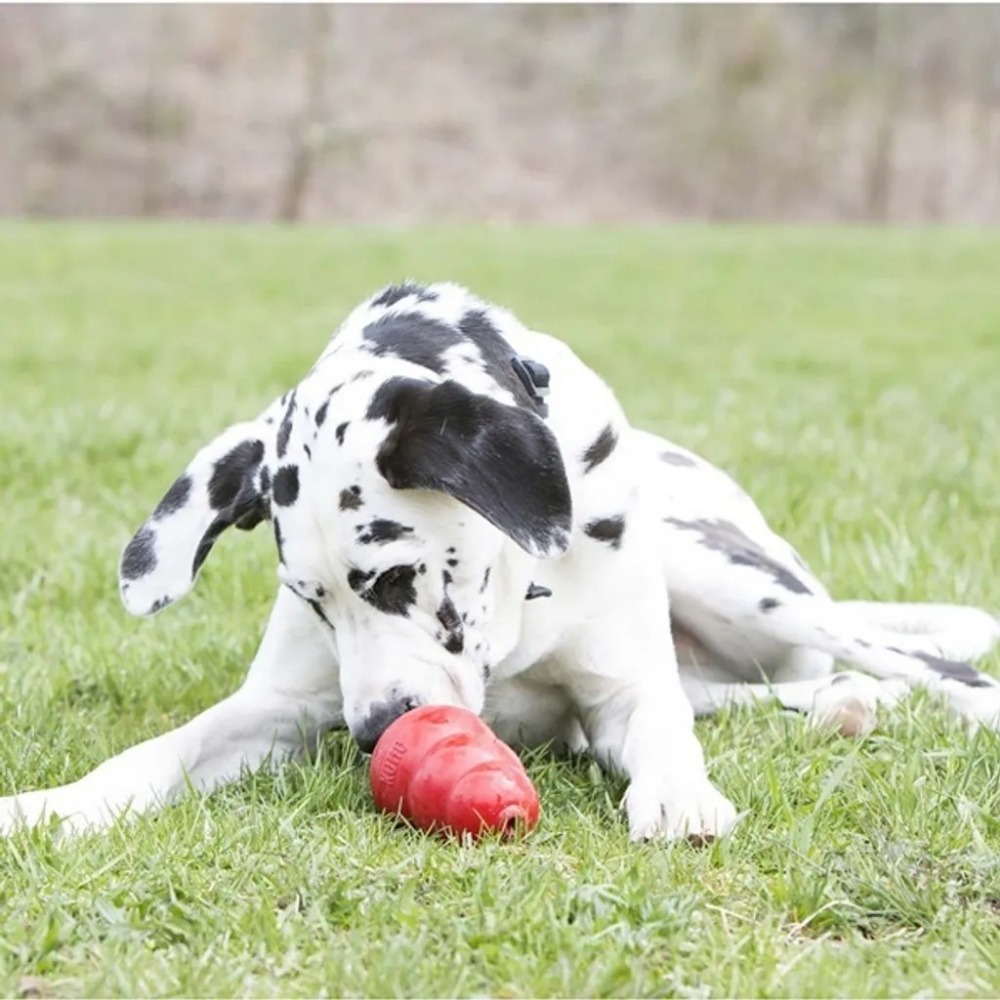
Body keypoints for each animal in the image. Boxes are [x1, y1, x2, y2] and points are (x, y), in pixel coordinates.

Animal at [1, 284, 1000, 844]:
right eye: (313, 601)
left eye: (396, 575)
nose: (375, 731)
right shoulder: (278, 707)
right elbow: (156, 752)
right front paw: (54, 807)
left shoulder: (627, 690)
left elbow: (664, 732)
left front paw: (681, 796)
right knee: (766, 691)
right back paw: (844, 706)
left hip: (736, 579)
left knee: (925, 663)